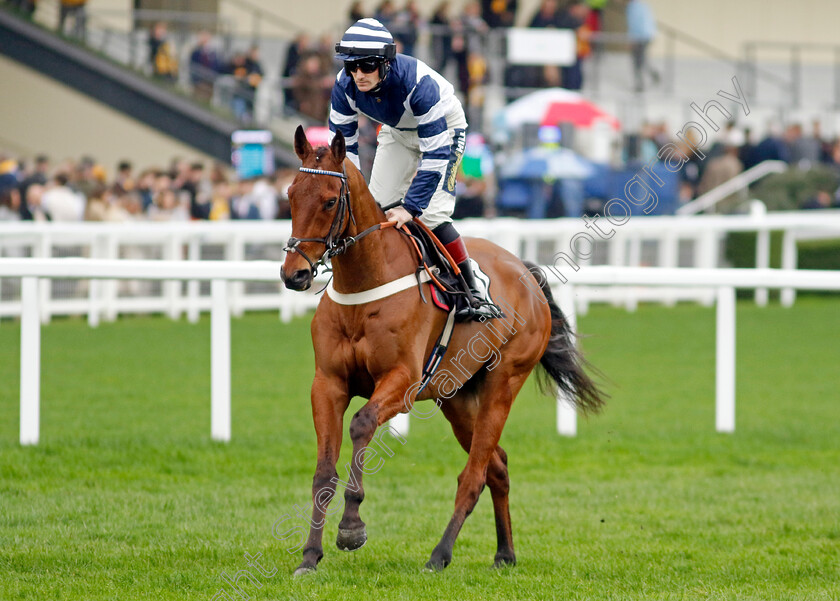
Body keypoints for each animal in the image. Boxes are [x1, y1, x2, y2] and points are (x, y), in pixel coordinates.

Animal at [280, 124, 604, 576]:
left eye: (329, 200)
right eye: (291, 194)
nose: (293, 274)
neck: (364, 284)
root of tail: (526, 272)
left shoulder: (402, 381)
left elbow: (362, 424)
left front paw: (351, 527)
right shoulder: (327, 384)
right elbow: (323, 472)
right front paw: (310, 555)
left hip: (503, 383)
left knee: (474, 474)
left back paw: (440, 553)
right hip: (457, 397)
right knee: (497, 466)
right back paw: (504, 552)